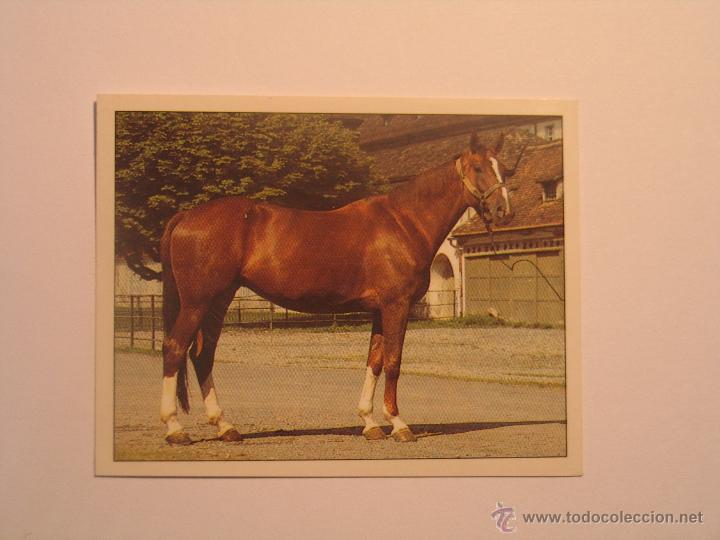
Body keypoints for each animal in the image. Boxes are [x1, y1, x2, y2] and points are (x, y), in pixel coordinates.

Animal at [159, 132, 518, 444]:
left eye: (504, 168)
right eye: (478, 168)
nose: (503, 211)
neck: (404, 222)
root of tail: (186, 216)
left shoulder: (379, 310)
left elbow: (374, 361)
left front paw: (370, 423)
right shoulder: (396, 306)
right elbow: (394, 362)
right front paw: (399, 425)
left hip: (218, 301)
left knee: (203, 355)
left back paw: (225, 427)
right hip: (197, 302)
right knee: (175, 348)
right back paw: (175, 429)